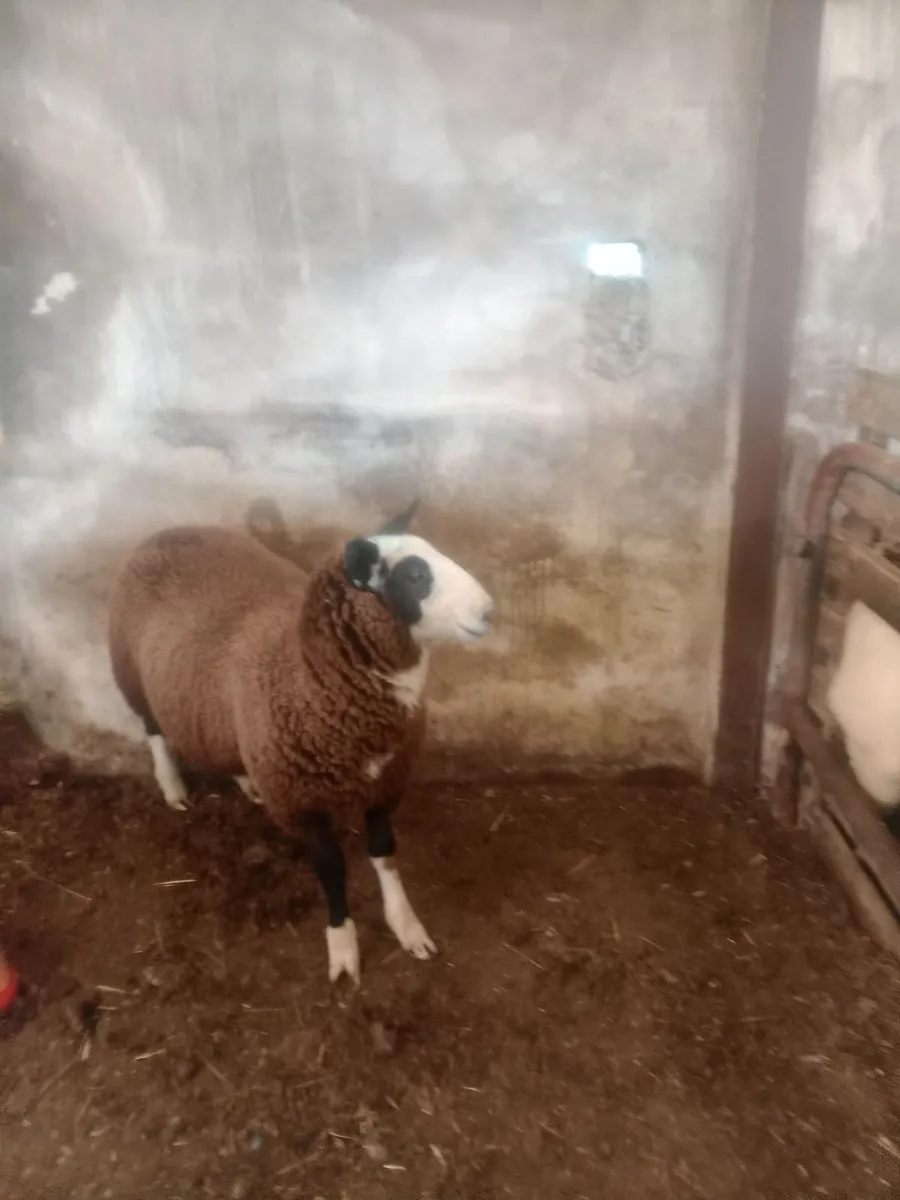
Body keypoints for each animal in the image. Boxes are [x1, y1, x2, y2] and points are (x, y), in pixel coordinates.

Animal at [107, 503, 493, 984]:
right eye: (415, 575)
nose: (488, 612)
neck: (310, 675)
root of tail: (168, 532)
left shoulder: (385, 783)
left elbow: (384, 853)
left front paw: (406, 927)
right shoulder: (302, 803)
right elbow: (332, 870)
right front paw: (342, 948)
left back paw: (245, 782)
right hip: (131, 673)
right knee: (153, 729)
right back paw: (173, 787)